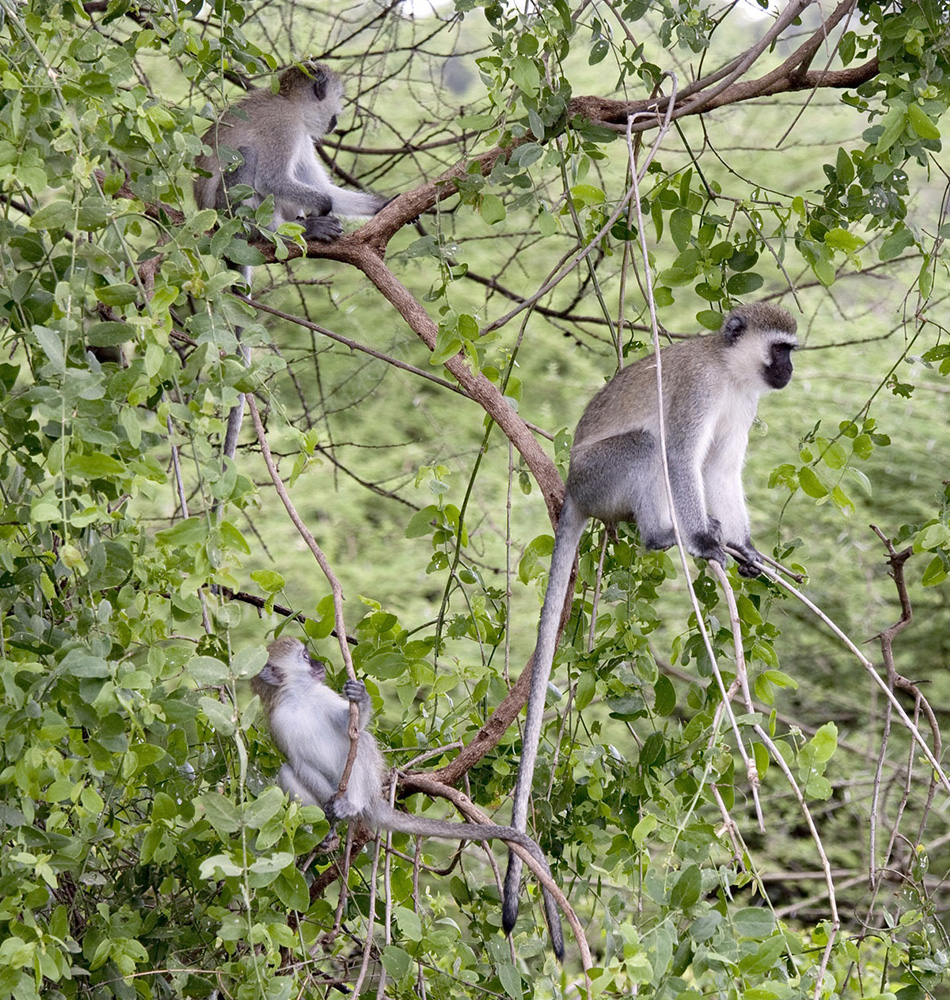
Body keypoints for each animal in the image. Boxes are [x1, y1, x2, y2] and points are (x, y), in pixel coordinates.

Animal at [193, 64, 390, 462]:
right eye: (339, 99)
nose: (337, 118)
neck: (290, 105)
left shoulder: (302, 138)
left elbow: (324, 188)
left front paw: (385, 204)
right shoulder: (285, 129)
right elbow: (275, 179)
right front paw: (320, 212)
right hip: (227, 216)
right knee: (248, 159)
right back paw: (278, 233)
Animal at [251, 640, 564, 960]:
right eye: (304, 656)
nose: (317, 664)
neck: (299, 698)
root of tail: (371, 802)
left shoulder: (322, 696)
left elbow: (353, 727)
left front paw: (360, 698)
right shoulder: (280, 722)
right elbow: (297, 764)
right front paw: (328, 812)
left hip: (364, 785)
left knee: (361, 743)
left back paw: (349, 806)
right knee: (287, 772)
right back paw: (327, 833)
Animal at [502, 300, 800, 932]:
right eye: (780, 348)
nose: (788, 370)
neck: (730, 371)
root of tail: (573, 491)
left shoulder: (745, 405)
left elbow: (719, 469)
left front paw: (745, 549)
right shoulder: (698, 392)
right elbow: (683, 457)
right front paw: (706, 542)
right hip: (601, 474)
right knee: (649, 448)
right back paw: (666, 535)